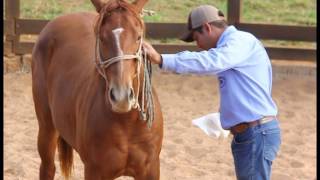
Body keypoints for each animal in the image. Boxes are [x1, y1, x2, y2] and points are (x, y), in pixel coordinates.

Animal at [31, 0, 164, 179]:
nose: (121, 97)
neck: (127, 123)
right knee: (48, 167)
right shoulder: (95, 171)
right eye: (101, 38)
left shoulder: (151, 169)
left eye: (138, 37)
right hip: (46, 128)